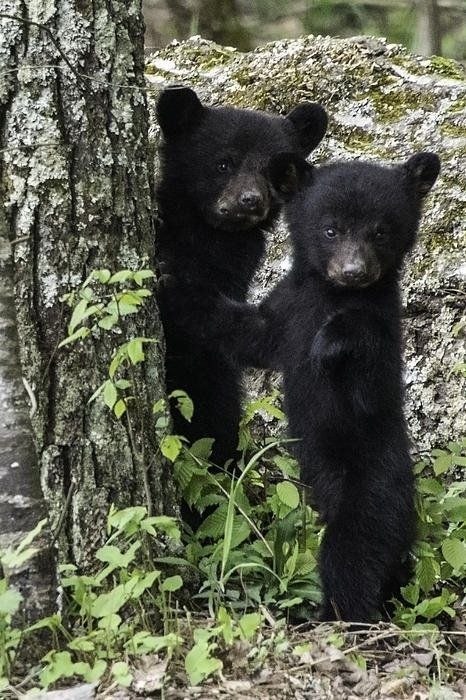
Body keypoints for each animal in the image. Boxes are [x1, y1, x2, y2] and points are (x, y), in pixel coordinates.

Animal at [184, 152, 441, 621]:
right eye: (330, 229)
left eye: (381, 230)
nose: (354, 271)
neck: (328, 295)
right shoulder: (284, 313)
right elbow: (242, 331)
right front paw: (172, 282)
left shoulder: (382, 331)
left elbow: (367, 372)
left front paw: (327, 342)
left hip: (373, 491)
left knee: (353, 556)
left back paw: (340, 615)